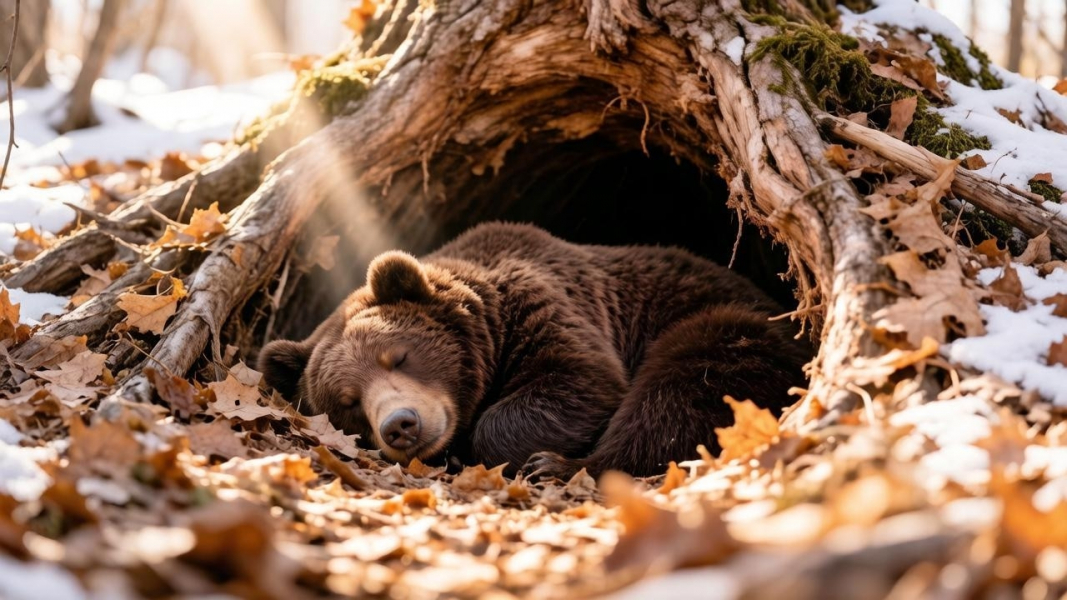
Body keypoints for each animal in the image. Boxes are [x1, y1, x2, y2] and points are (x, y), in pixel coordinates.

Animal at [257, 222, 811, 478]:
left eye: (399, 355)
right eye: (348, 402)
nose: (400, 424)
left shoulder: (545, 305)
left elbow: (579, 381)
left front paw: (504, 449)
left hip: (733, 331)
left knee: (680, 393)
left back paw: (556, 465)